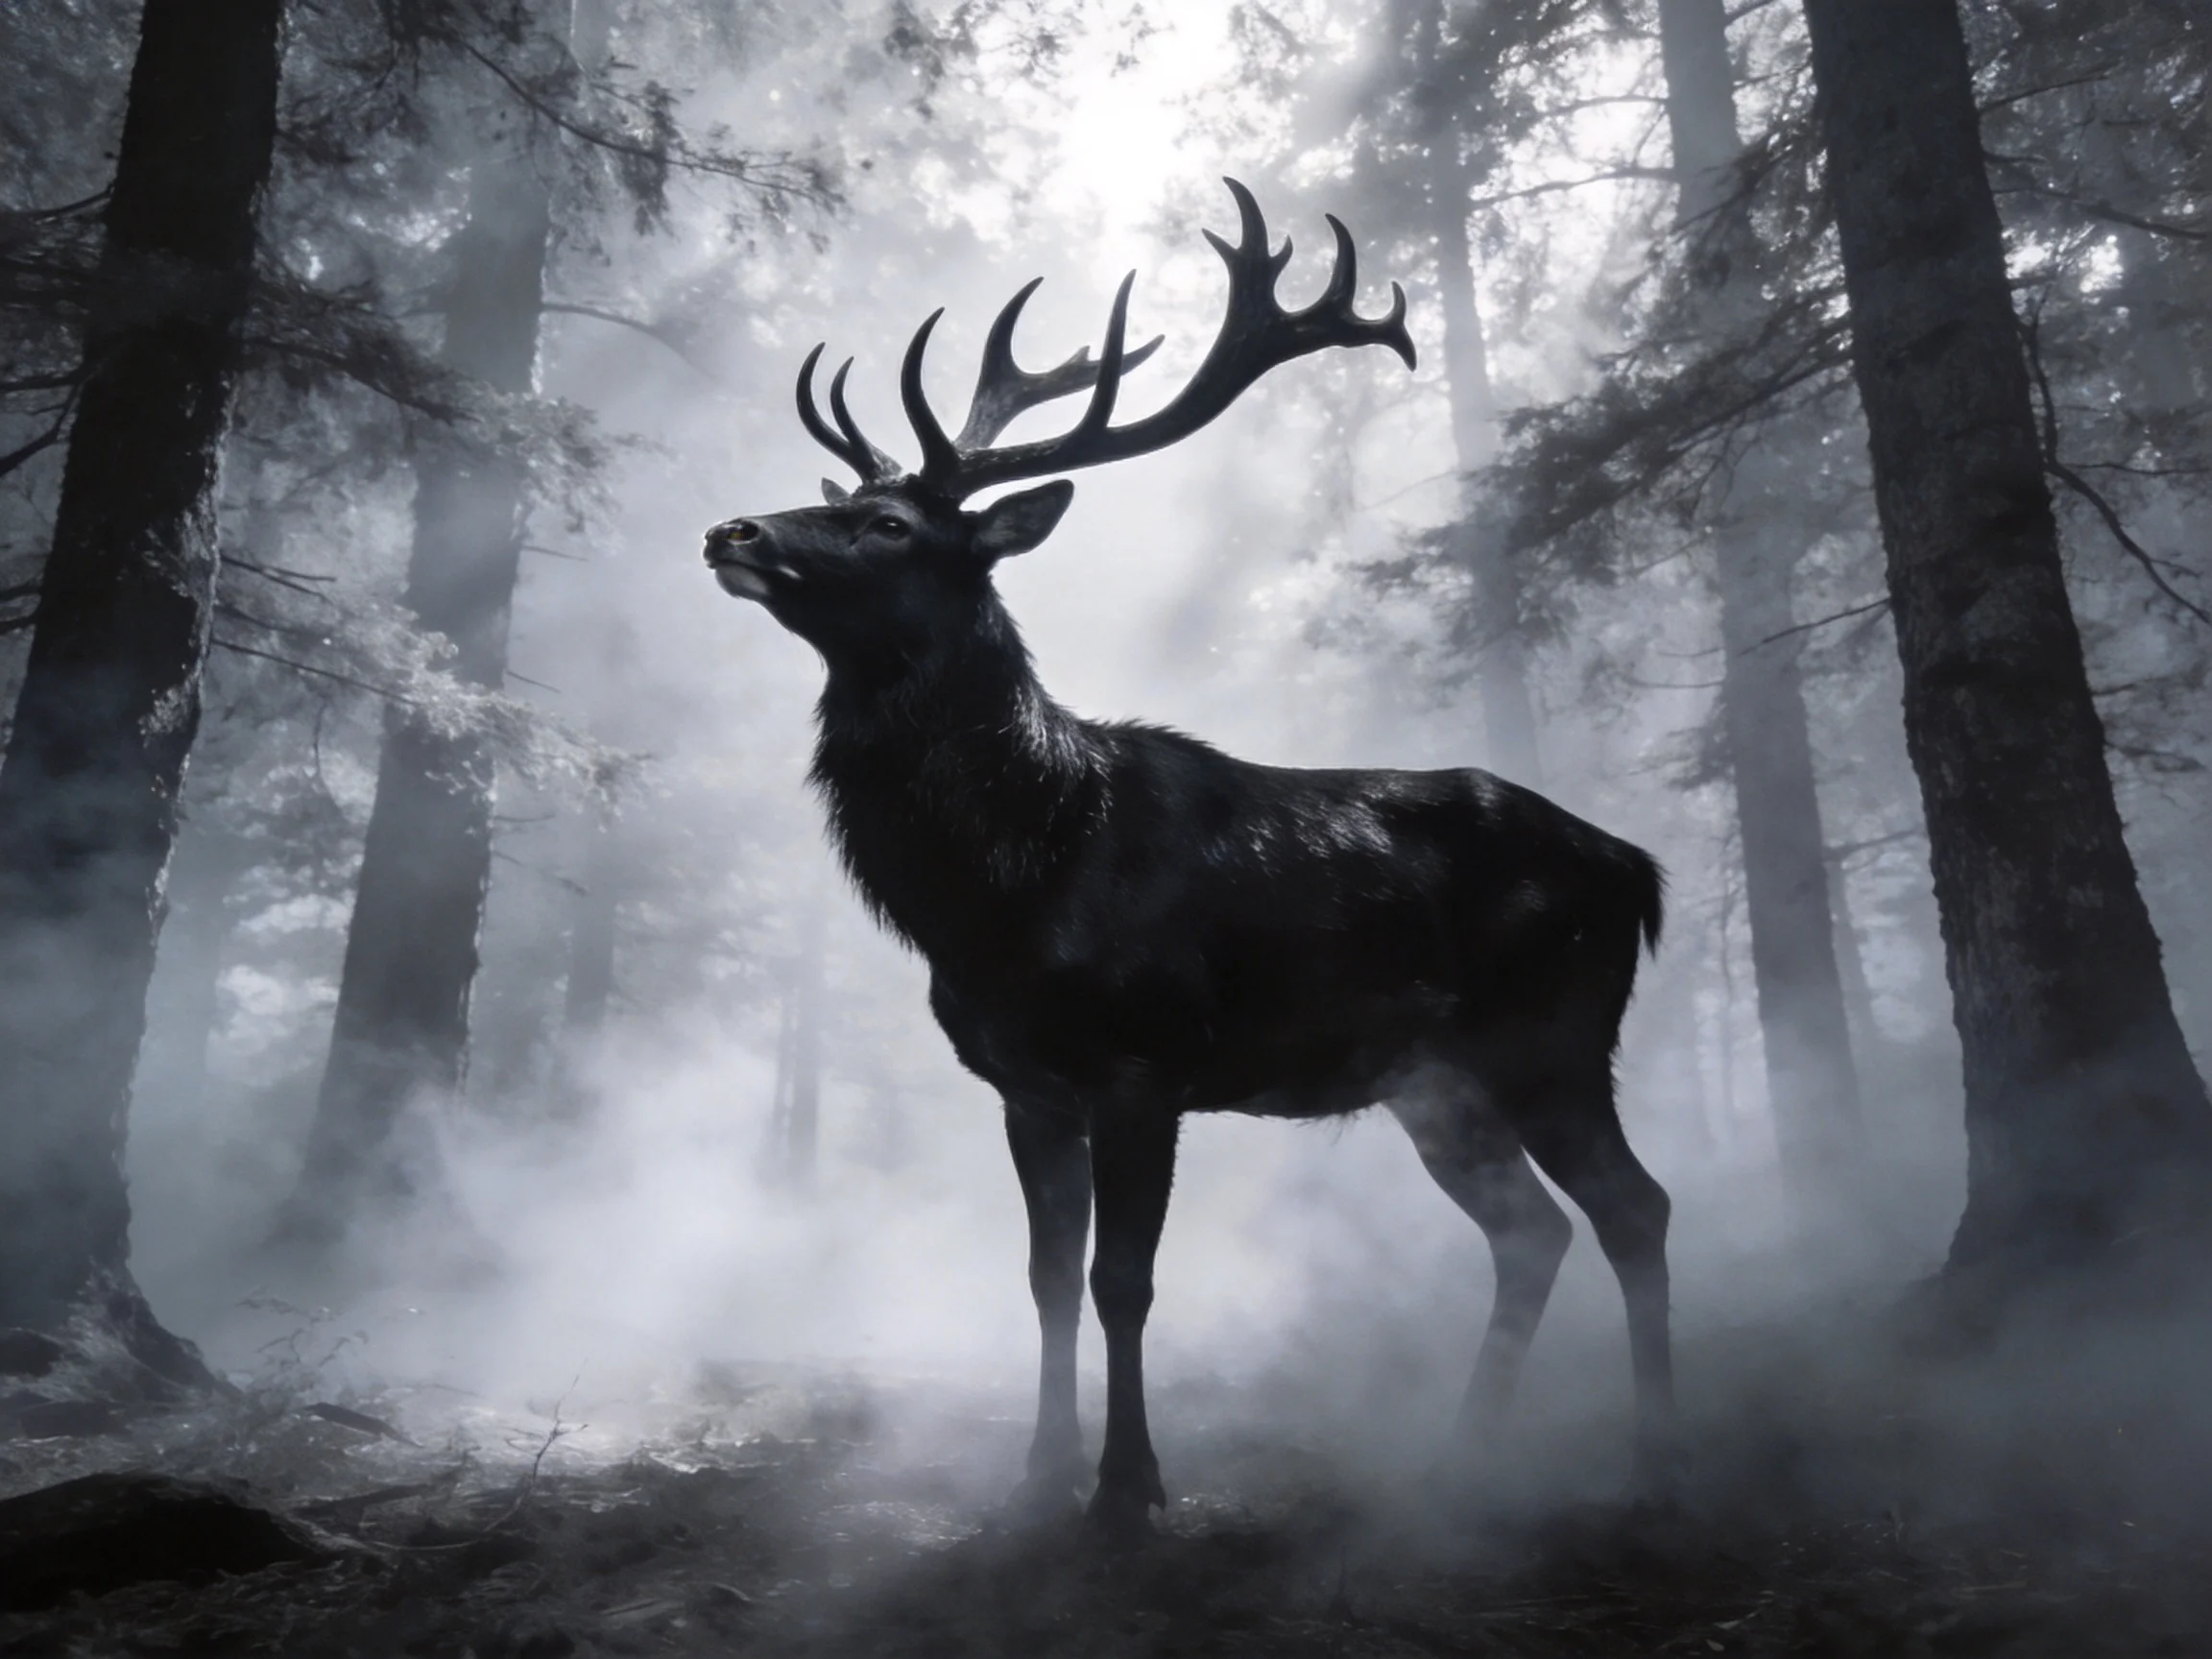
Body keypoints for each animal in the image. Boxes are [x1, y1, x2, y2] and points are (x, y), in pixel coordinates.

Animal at [702, 181, 1675, 1539]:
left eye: (886, 522)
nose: (730, 527)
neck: (1008, 878)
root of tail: (1635, 867)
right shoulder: (1025, 1084)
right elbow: (1047, 1279)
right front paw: (1037, 1477)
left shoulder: (1144, 1062)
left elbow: (1126, 1281)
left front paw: (1129, 1490)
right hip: (1435, 1083)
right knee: (1531, 1230)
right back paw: (1461, 1460)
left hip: (1555, 1032)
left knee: (1636, 1208)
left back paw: (1652, 1461)